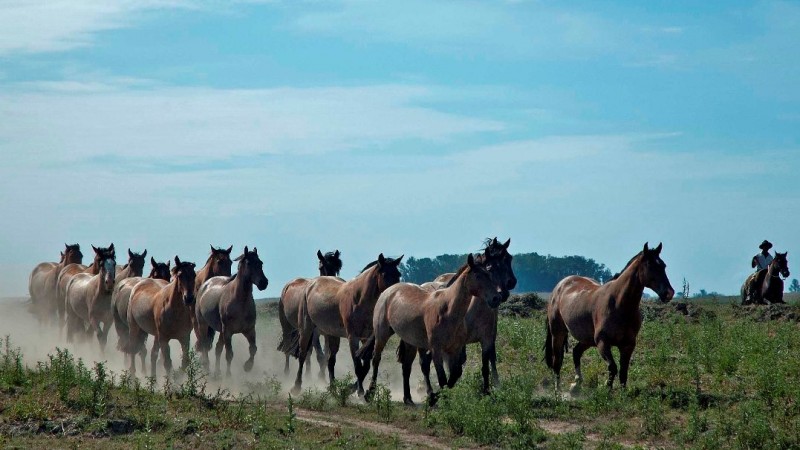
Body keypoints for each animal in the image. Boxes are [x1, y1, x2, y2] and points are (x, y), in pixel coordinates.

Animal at [195, 246, 270, 376]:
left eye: (260, 263)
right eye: (249, 263)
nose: (263, 283)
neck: (241, 302)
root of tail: (206, 283)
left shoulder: (249, 330)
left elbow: (253, 349)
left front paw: (247, 366)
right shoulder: (228, 332)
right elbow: (229, 354)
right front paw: (229, 375)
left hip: (221, 331)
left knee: (217, 348)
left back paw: (217, 373)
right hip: (203, 325)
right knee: (204, 345)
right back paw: (207, 367)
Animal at [276, 250, 342, 380]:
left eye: (337, 268)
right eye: (321, 267)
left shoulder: (328, 333)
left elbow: (326, 354)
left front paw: (322, 374)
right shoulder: (315, 332)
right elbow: (320, 355)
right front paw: (321, 376)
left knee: (307, 350)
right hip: (287, 326)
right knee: (288, 346)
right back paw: (287, 372)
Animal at [290, 253, 406, 394]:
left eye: (398, 274)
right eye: (384, 274)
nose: (395, 292)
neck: (359, 299)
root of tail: (311, 284)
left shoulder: (366, 337)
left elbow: (365, 366)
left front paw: (351, 389)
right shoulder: (353, 337)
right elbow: (357, 366)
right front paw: (360, 392)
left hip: (332, 334)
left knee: (330, 360)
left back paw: (333, 388)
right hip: (306, 329)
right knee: (302, 355)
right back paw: (296, 387)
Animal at [360, 255, 506, 406]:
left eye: (489, 274)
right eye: (477, 275)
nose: (496, 298)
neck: (448, 310)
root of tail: (389, 290)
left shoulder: (455, 349)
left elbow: (455, 374)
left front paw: (435, 397)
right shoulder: (437, 349)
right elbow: (442, 378)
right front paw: (437, 399)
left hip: (410, 342)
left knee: (406, 367)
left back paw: (408, 398)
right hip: (382, 334)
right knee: (376, 360)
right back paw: (369, 393)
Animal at [544, 243, 676, 394]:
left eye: (663, 266)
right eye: (650, 265)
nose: (669, 293)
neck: (619, 305)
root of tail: (561, 285)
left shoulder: (628, 345)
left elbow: (624, 372)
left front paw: (622, 394)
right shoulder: (603, 343)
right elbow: (613, 368)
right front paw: (606, 390)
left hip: (588, 339)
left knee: (576, 352)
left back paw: (576, 384)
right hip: (558, 333)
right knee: (557, 361)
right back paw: (558, 391)